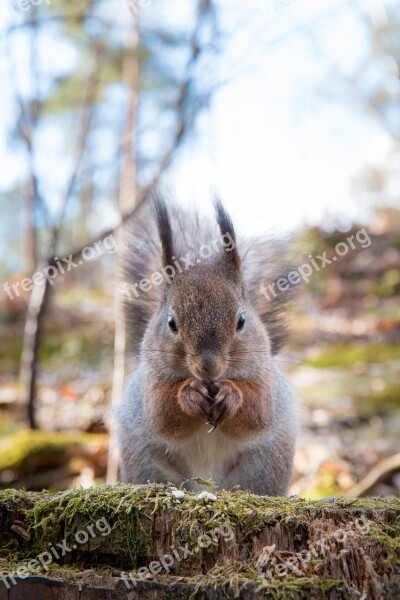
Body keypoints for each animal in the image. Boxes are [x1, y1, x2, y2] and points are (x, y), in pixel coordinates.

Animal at [115, 195, 296, 494]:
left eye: (242, 321)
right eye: (171, 323)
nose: (208, 367)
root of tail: (206, 485)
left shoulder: (265, 378)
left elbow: (257, 412)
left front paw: (231, 394)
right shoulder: (150, 384)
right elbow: (162, 415)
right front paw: (189, 394)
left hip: (266, 466)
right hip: (145, 463)